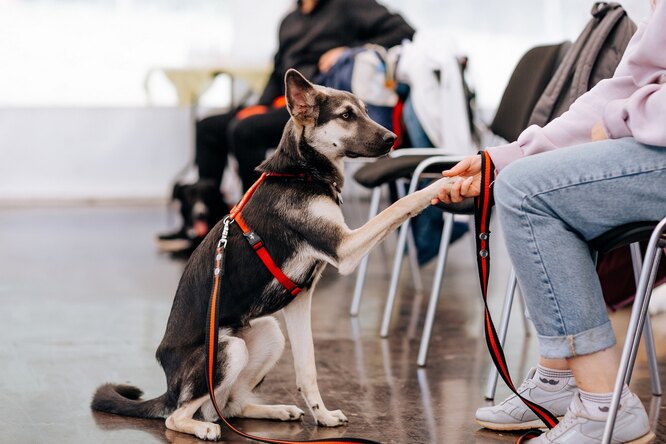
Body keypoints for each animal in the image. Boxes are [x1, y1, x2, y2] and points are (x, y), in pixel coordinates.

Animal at [91, 69, 452, 440]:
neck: (301, 171)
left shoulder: (300, 301)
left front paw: (322, 416)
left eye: (365, 111)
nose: (393, 139)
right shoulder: (344, 247)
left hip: (268, 334)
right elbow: (401, 204)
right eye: (346, 115)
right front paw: (444, 183)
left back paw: (275, 410)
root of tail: (169, 385)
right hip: (228, 350)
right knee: (178, 416)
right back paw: (201, 427)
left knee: (229, 406)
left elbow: (307, 368)